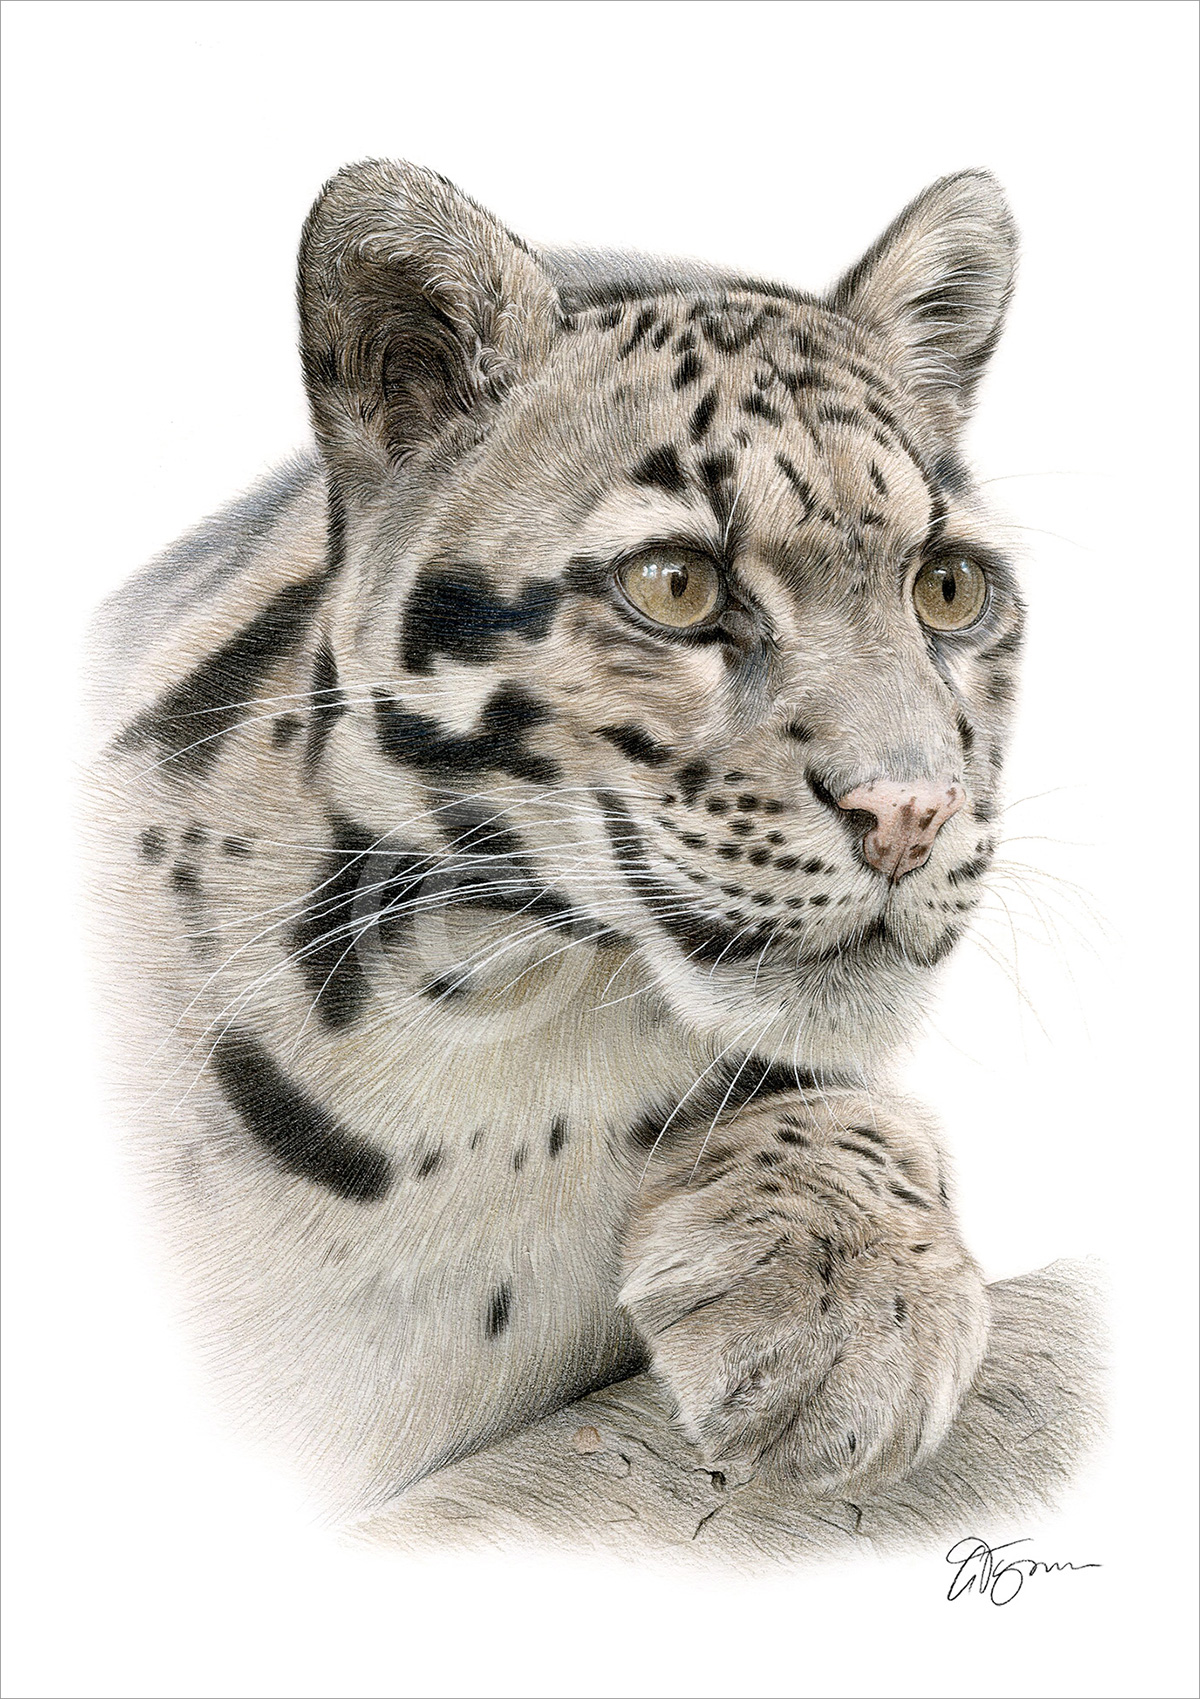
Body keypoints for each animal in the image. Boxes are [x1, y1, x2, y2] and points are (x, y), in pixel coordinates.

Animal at [84, 159, 1023, 1521]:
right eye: (676, 583)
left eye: (949, 588)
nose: (911, 812)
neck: (503, 1056)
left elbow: (851, 1100)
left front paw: (850, 1299)